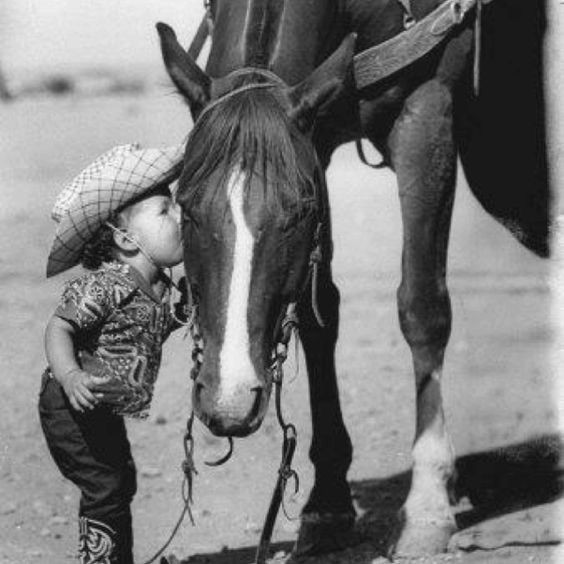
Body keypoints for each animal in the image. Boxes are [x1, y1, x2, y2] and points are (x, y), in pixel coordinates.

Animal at [156, 0, 548, 556]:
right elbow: (319, 315)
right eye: (185, 207)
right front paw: (327, 503)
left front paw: (427, 505)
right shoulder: (316, 136)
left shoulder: (427, 111)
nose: (229, 400)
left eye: (299, 211)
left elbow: (422, 306)